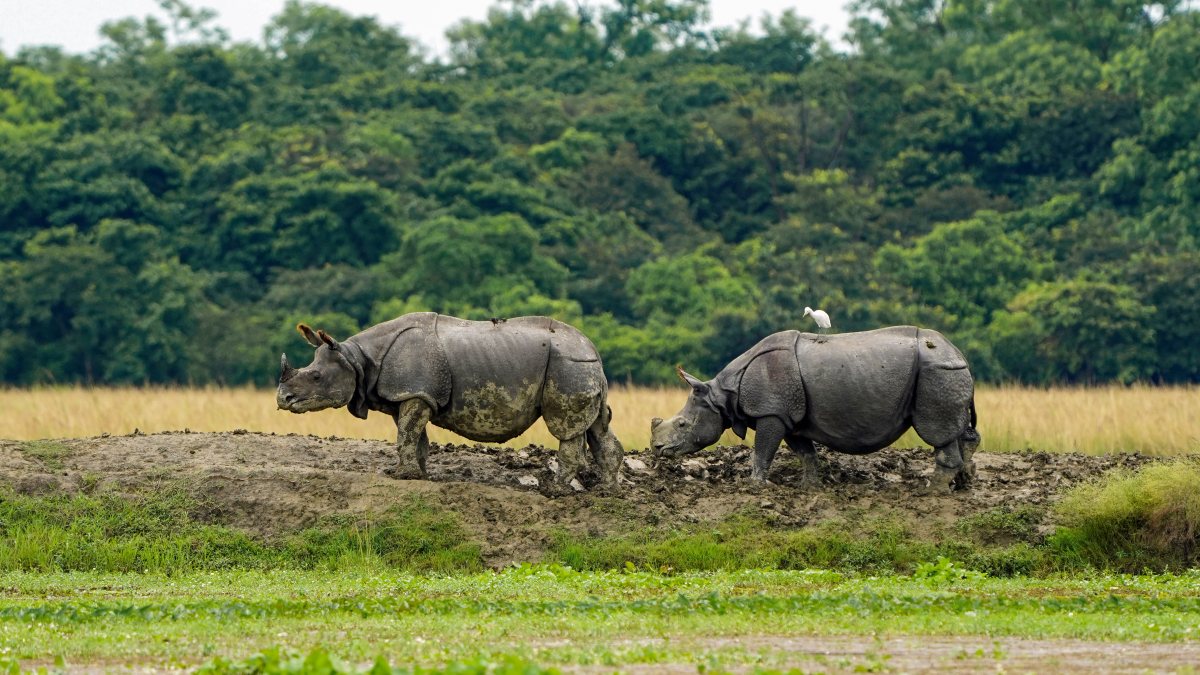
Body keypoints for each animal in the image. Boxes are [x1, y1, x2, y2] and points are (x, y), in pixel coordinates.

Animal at [276, 313, 624, 493]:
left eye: (316, 377)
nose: (282, 400)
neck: (357, 359)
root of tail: (592, 347)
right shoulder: (413, 394)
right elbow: (415, 437)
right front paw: (416, 473)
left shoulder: (415, 393)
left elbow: (406, 434)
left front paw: (401, 476)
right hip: (580, 366)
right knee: (597, 426)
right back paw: (607, 491)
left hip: (568, 365)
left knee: (566, 427)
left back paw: (553, 490)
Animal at [650, 326, 979, 494]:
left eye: (682, 425)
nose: (656, 448)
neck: (724, 394)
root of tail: (958, 354)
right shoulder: (789, 416)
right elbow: (805, 453)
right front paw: (808, 488)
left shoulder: (771, 412)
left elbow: (762, 450)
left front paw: (754, 486)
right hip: (945, 372)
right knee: (960, 431)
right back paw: (963, 484)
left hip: (937, 372)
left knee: (937, 432)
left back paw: (931, 492)